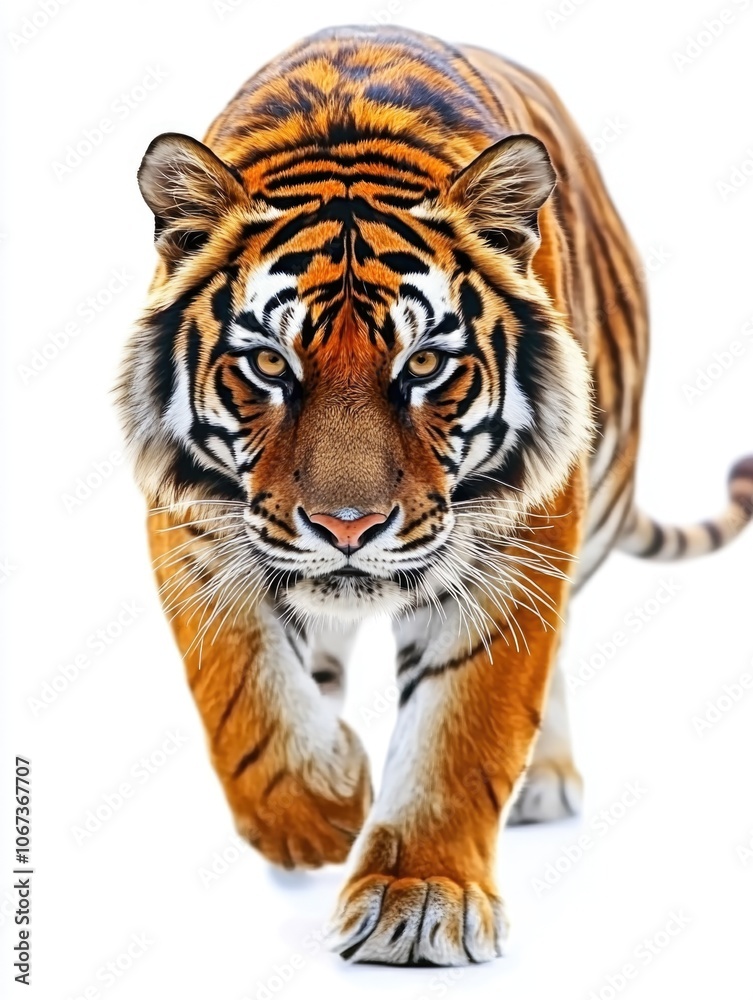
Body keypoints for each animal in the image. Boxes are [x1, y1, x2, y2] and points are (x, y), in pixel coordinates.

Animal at [116, 25, 753, 966]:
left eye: (422, 365)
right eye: (268, 363)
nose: (346, 526)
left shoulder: (517, 542)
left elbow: (463, 727)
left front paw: (417, 901)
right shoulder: (197, 528)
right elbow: (246, 697)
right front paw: (317, 814)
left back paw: (542, 781)